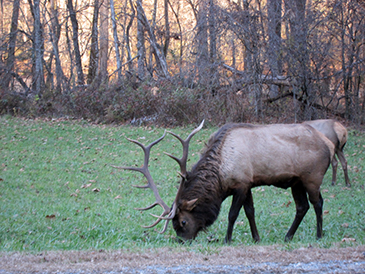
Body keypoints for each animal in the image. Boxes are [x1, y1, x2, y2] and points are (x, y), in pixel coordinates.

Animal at [115, 121, 334, 243]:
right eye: (175, 224)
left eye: (183, 222)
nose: (182, 241)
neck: (220, 176)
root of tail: (330, 144)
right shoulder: (248, 184)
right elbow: (250, 212)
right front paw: (256, 238)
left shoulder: (241, 184)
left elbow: (232, 214)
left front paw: (228, 239)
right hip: (296, 182)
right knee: (302, 206)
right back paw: (288, 236)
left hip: (312, 177)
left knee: (317, 203)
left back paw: (319, 235)